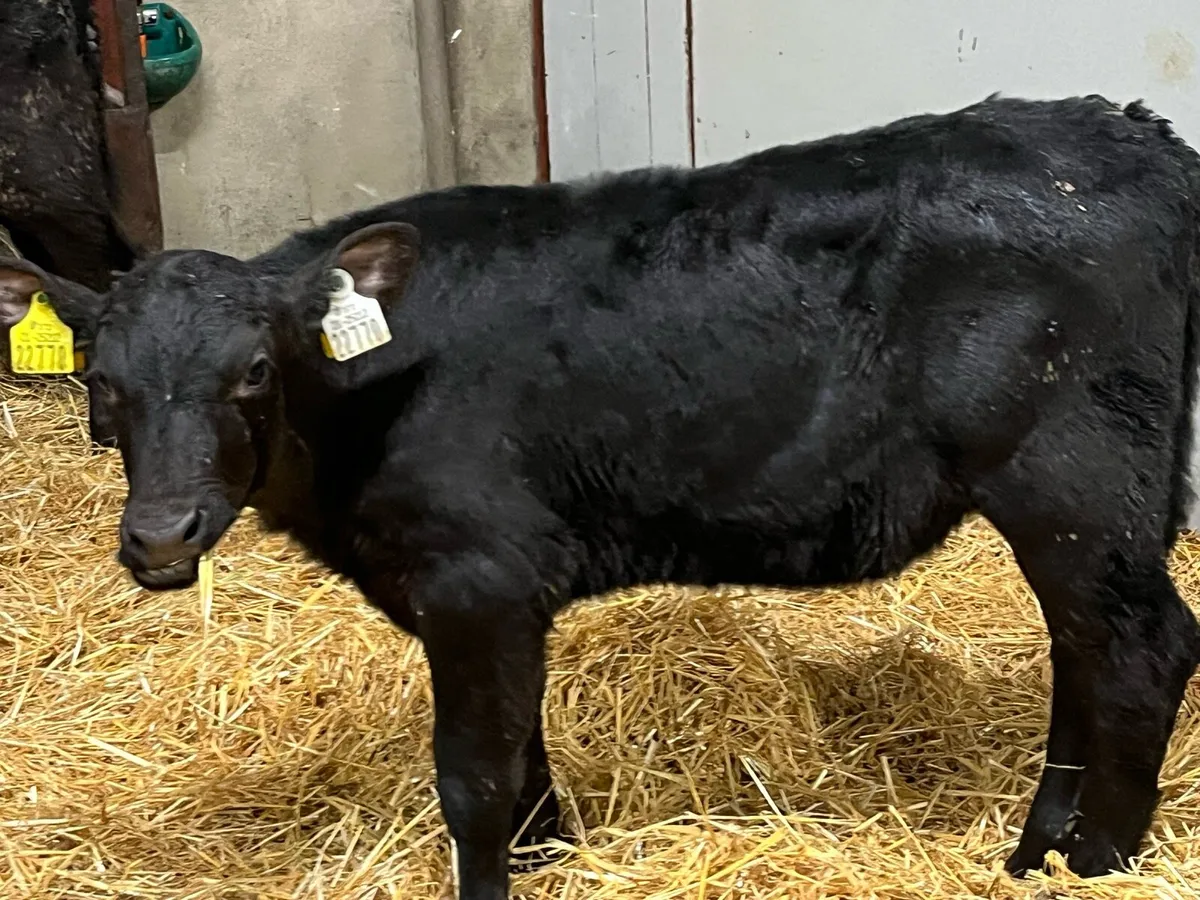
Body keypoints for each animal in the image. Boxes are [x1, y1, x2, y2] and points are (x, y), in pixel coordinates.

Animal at [3, 94, 1200, 900]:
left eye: (252, 370)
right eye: (100, 382)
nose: (161, 535)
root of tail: (1129, 131)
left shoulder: (476, 578)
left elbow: (474, 777)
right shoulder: (494, 599)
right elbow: (523, 755)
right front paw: (552, 855)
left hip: (1076, 471)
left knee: (1141, 650)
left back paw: (1096, 860)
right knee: (1086, 649)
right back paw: (1038, 848)